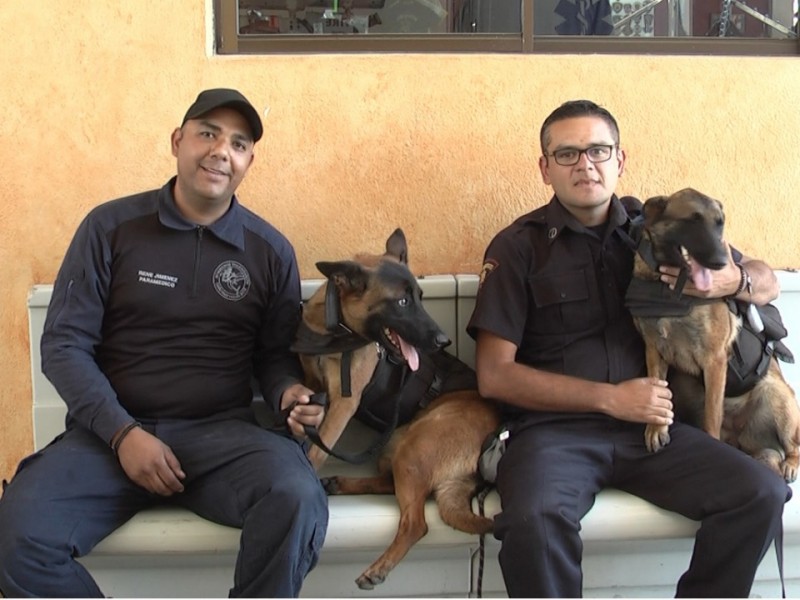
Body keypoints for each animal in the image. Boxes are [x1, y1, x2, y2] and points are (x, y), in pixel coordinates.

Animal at [294, 230, 500, 592]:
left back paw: (379, 567)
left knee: (416, 523)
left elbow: (317, 450)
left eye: (420, 297)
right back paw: (341, 483)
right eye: (403, 302)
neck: (338, 329)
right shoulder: (313, 386)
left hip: (413, 450)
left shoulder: (343, 404)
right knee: (389, 483)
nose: (443, 340)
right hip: (396, 445)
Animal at [628, 190, 796, 480]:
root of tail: (744, 440)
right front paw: (656, 429)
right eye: (692, 221)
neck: (671, 288)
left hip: (778, 396)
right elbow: (657, 392)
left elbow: (711, 418)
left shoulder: (714, 359)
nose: (721, 263)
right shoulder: (653, 350)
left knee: (794, 445)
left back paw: (791, 463)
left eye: (720, 224)